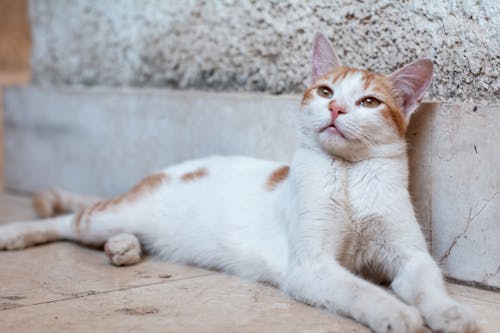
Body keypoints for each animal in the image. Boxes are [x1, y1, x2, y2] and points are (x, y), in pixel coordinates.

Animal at [0, 33, 476, 332]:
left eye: (369, 102)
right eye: (325, 92)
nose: (337, 109)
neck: (348, 176)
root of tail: (164, 170)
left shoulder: (410, 255)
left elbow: (428, 284)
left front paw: (450, 313)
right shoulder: (312, 266)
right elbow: (359, 289)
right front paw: (395, 313)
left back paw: (124, 247)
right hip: (111, 213)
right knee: (69, 221)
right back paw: (17, 233)